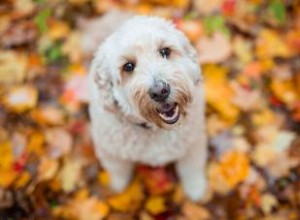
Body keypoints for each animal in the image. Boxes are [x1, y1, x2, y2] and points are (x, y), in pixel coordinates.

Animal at [88, 15, 207, 201]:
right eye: (128, 66)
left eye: (165, 51)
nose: (160, 91)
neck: (155, 129)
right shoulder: (110, 152)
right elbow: (119, 172)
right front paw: (118, 188)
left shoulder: (193, 143)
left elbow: (191, 169)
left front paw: (196, 189)